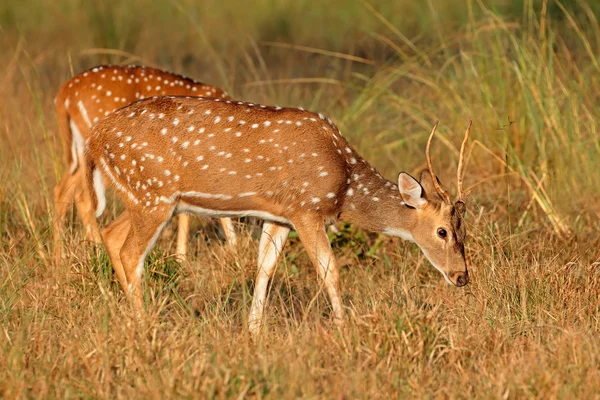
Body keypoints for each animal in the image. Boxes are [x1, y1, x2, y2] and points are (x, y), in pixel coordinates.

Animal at [52, 65, 237, 266]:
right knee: (83, 197)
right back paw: (96, 251)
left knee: (63, 190)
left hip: (80, 151)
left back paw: (61, 258)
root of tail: (65, 93)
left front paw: (181, 257)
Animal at [83, 96, 474, 334]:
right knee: (130, 251)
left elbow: (264, 267)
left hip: (143, 197)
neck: (345, 185)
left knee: (111, 234)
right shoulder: (306, 208)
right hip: (153, 193)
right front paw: (343, 328)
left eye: (464, 231)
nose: (462, 277)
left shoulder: (279, 215)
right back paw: (143, 323)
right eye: (442, 231)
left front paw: (253, 331)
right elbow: (329, 269)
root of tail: (94, 139)